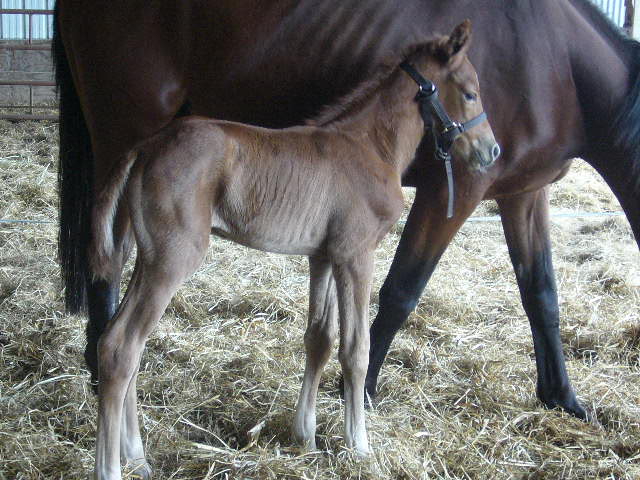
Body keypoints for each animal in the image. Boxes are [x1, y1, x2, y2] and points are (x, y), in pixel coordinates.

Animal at [87, 21, 496, 476]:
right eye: (471, 93)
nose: (491, 151)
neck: (371, 145)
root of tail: (144, 148)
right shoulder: (356, 256)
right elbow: (356, 350)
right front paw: (359, 446)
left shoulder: (324, 256)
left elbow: (319, 340)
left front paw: (306, 437)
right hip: (173, 259)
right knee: (121, 346)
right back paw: (111, 468)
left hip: (148, 258)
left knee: (126, 344)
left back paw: (137, 457)